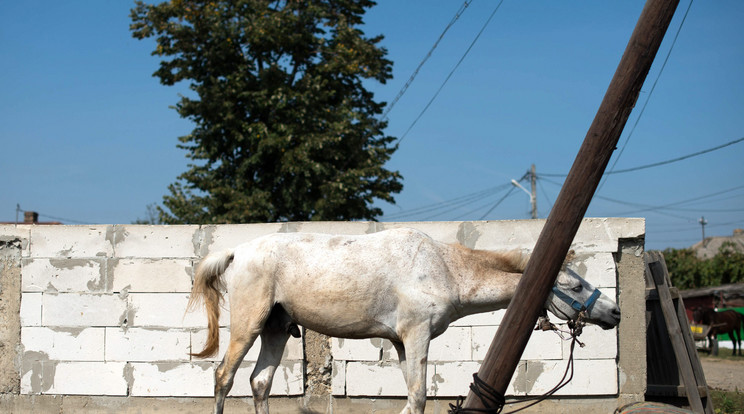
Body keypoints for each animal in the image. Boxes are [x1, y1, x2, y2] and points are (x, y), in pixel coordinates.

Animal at [187, 226, 620, 414]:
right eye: (576, 285)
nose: (614, 312)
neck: (442, 268)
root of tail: (237, 252)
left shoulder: (399, 343)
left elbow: (412, 396)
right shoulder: (416, 336)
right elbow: (418, 395)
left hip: (275, 330)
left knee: (260, 383)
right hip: (249, 326)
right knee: (223, 377)